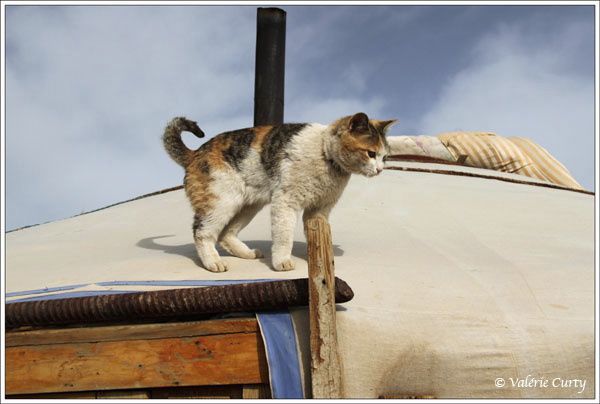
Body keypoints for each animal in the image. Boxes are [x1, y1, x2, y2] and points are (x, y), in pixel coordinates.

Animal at [162, 112, 396, 274]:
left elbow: (317, 237)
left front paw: (321, 258)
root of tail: (195, 153)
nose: (380, 169)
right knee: (202, 232)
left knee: (226, 235)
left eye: (385, 157)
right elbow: (284, 236)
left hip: (248, 206)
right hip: (221, 203)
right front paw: (282, 262)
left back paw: (248, 254)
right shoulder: (286, 202)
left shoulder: (319, 210)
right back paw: (214, 262)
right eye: (370, 153)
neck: (325, 155)